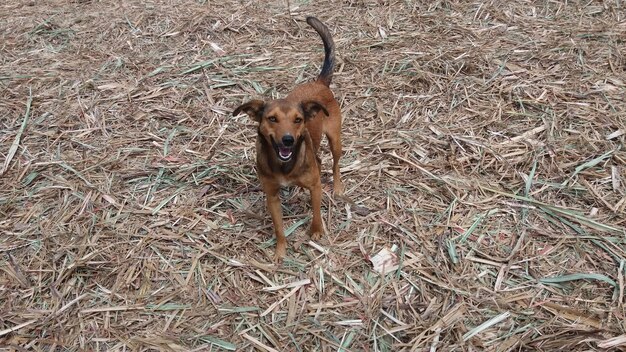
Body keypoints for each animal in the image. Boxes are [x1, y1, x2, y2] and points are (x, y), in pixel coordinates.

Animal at [233, 17, 344, 262]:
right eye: (272, 118)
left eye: (298, 119)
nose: (288, 140)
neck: (284, 165)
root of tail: (319, 82)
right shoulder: (272, 195)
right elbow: (279, 228)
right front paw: (280, 251)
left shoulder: (315, 187)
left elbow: (316, 212)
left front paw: (316, 232)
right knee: (319, 160)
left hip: (335, 139)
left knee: (335, 162)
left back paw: (338, 187)